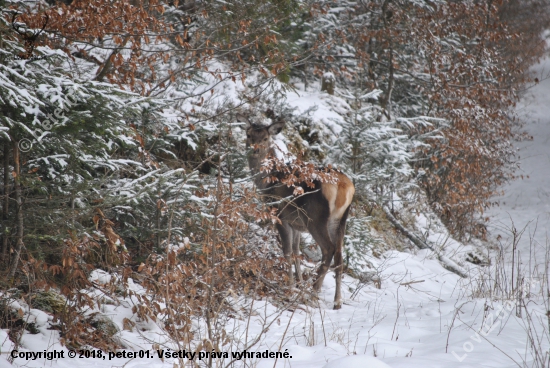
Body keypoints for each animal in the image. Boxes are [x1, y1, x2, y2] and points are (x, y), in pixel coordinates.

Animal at [239, 110, 356, 310]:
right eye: (249, 135)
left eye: (265, 138)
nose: (255, 149)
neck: (266, 183)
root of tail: (344, 186)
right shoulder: (296, 223)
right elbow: (296, 253)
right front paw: (299, 283)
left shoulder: (279, 214)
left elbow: (287, 252)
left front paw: (291, 287)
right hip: (340, 221)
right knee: (340, 258)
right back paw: (337, 301)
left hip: (316, 218)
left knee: (328, 250)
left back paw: (313, 292)